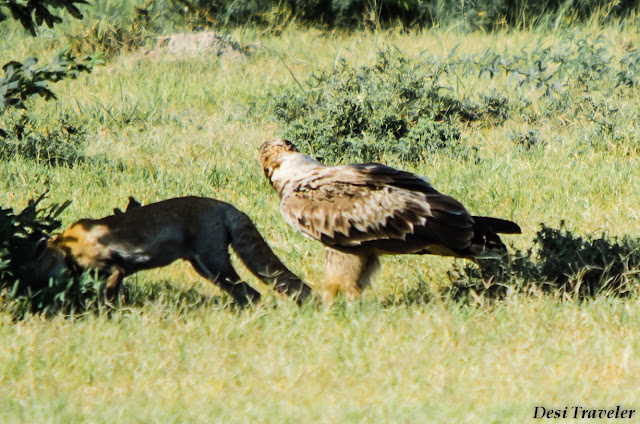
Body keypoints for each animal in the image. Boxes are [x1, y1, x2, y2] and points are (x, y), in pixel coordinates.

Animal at [28, 197, 314, 306]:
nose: (29, 295)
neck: (68, 245)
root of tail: (224, 205)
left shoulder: (115, 269)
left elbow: (108, 302)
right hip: (207, 270)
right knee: (247, 294)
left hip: (214, 265)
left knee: (252, 294)